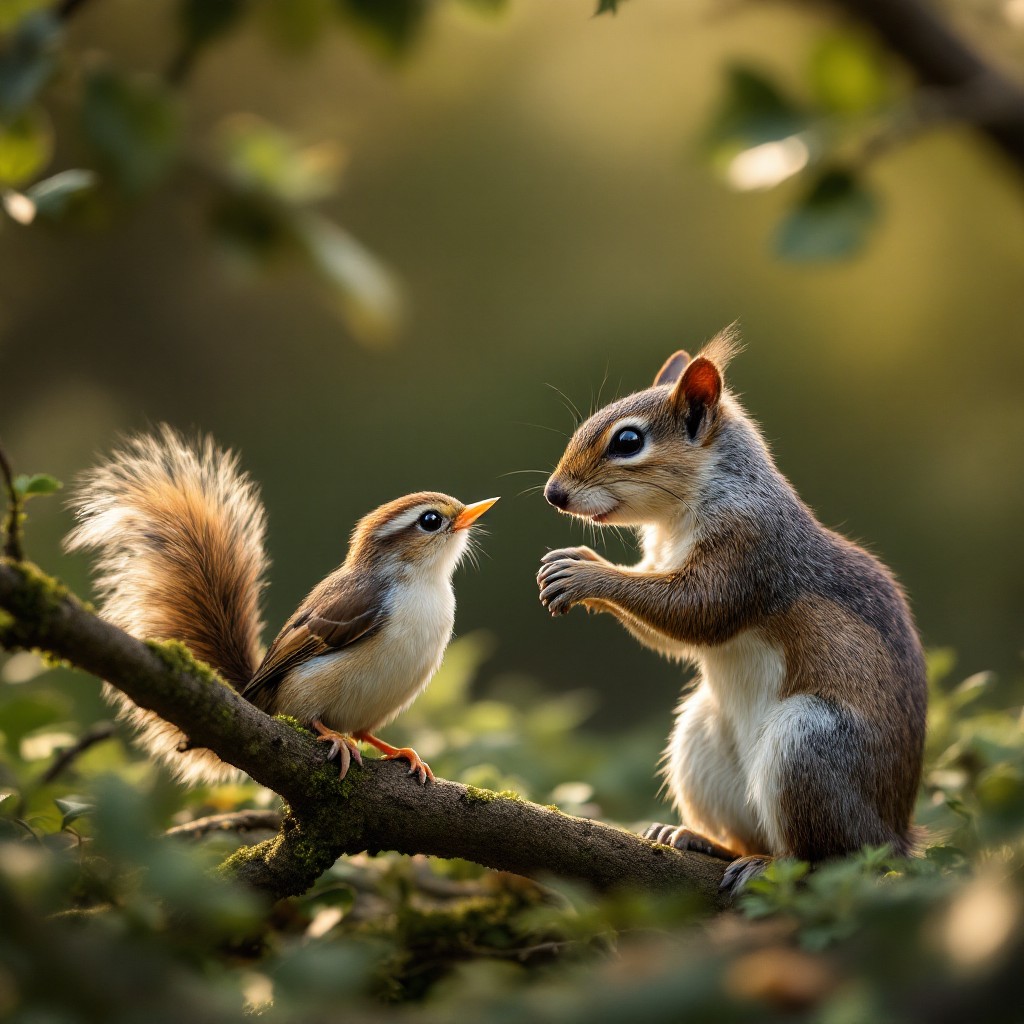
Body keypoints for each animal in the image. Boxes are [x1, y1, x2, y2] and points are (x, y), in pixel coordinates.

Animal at [65, 426, 497, 785]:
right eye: (431, 520)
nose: (482, 507)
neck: (423, 584)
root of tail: (251, 690)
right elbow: (328, 725)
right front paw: (338, 741)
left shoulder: (375, 713)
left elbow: (370, 735)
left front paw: (407, 754)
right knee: (311, 718)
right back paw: (336, 739)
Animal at [537, 327, 927, 890]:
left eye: (627, 441)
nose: (554, 493)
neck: (676, 518)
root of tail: (893, 838)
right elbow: (672, 636)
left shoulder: (750, 550)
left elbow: (696, 610)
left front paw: (587, 571)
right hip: (701, 741)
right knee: (744, 833)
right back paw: (700, 839)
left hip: (810, 746)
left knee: (825, 856)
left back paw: (773, 863)